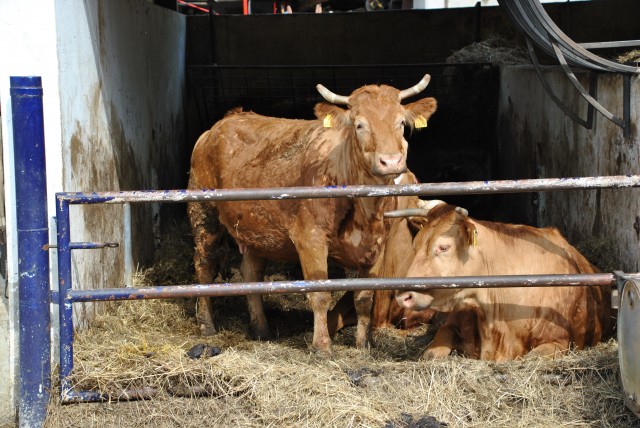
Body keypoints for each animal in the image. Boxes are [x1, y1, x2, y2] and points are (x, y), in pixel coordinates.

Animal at [185, 76, 436, 354]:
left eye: (401, 123)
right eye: (359, 125)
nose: (390, 161)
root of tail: (224, 122)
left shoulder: (375, 246)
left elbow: (364, 297)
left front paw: (363, 344)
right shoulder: (310, 239)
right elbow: (320, 293)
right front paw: (322, 346)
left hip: (254, 230)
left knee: (251, 273)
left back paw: (261, 329)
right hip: (204, 214)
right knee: (204, 265)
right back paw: (207, 324)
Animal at [392, 203, 612, 362]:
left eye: (443, 247)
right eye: (415, 245)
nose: (403, 295)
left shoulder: (560, 340)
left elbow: (532, 358)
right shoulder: (453, 321)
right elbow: (432, 352)